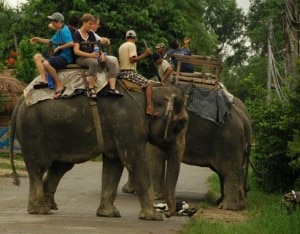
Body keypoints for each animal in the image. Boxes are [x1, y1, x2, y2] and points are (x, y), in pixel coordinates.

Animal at [9, 82, 188, 219]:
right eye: (180, 125)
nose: (169, 214)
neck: (150, 91)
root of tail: (20, 101)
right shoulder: (129, 125)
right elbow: (134, 161)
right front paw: (153, 217)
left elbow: (114, 163)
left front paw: (109, 214)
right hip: (33, 132)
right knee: (39, 167)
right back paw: (40, 210)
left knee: (61, 166)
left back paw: (49, 206)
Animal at [123, 94, 252, 210]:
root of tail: (241, 114)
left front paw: (151, 196)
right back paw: (232, 203)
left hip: (229, 142)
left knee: (229, 171)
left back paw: (226, 207)